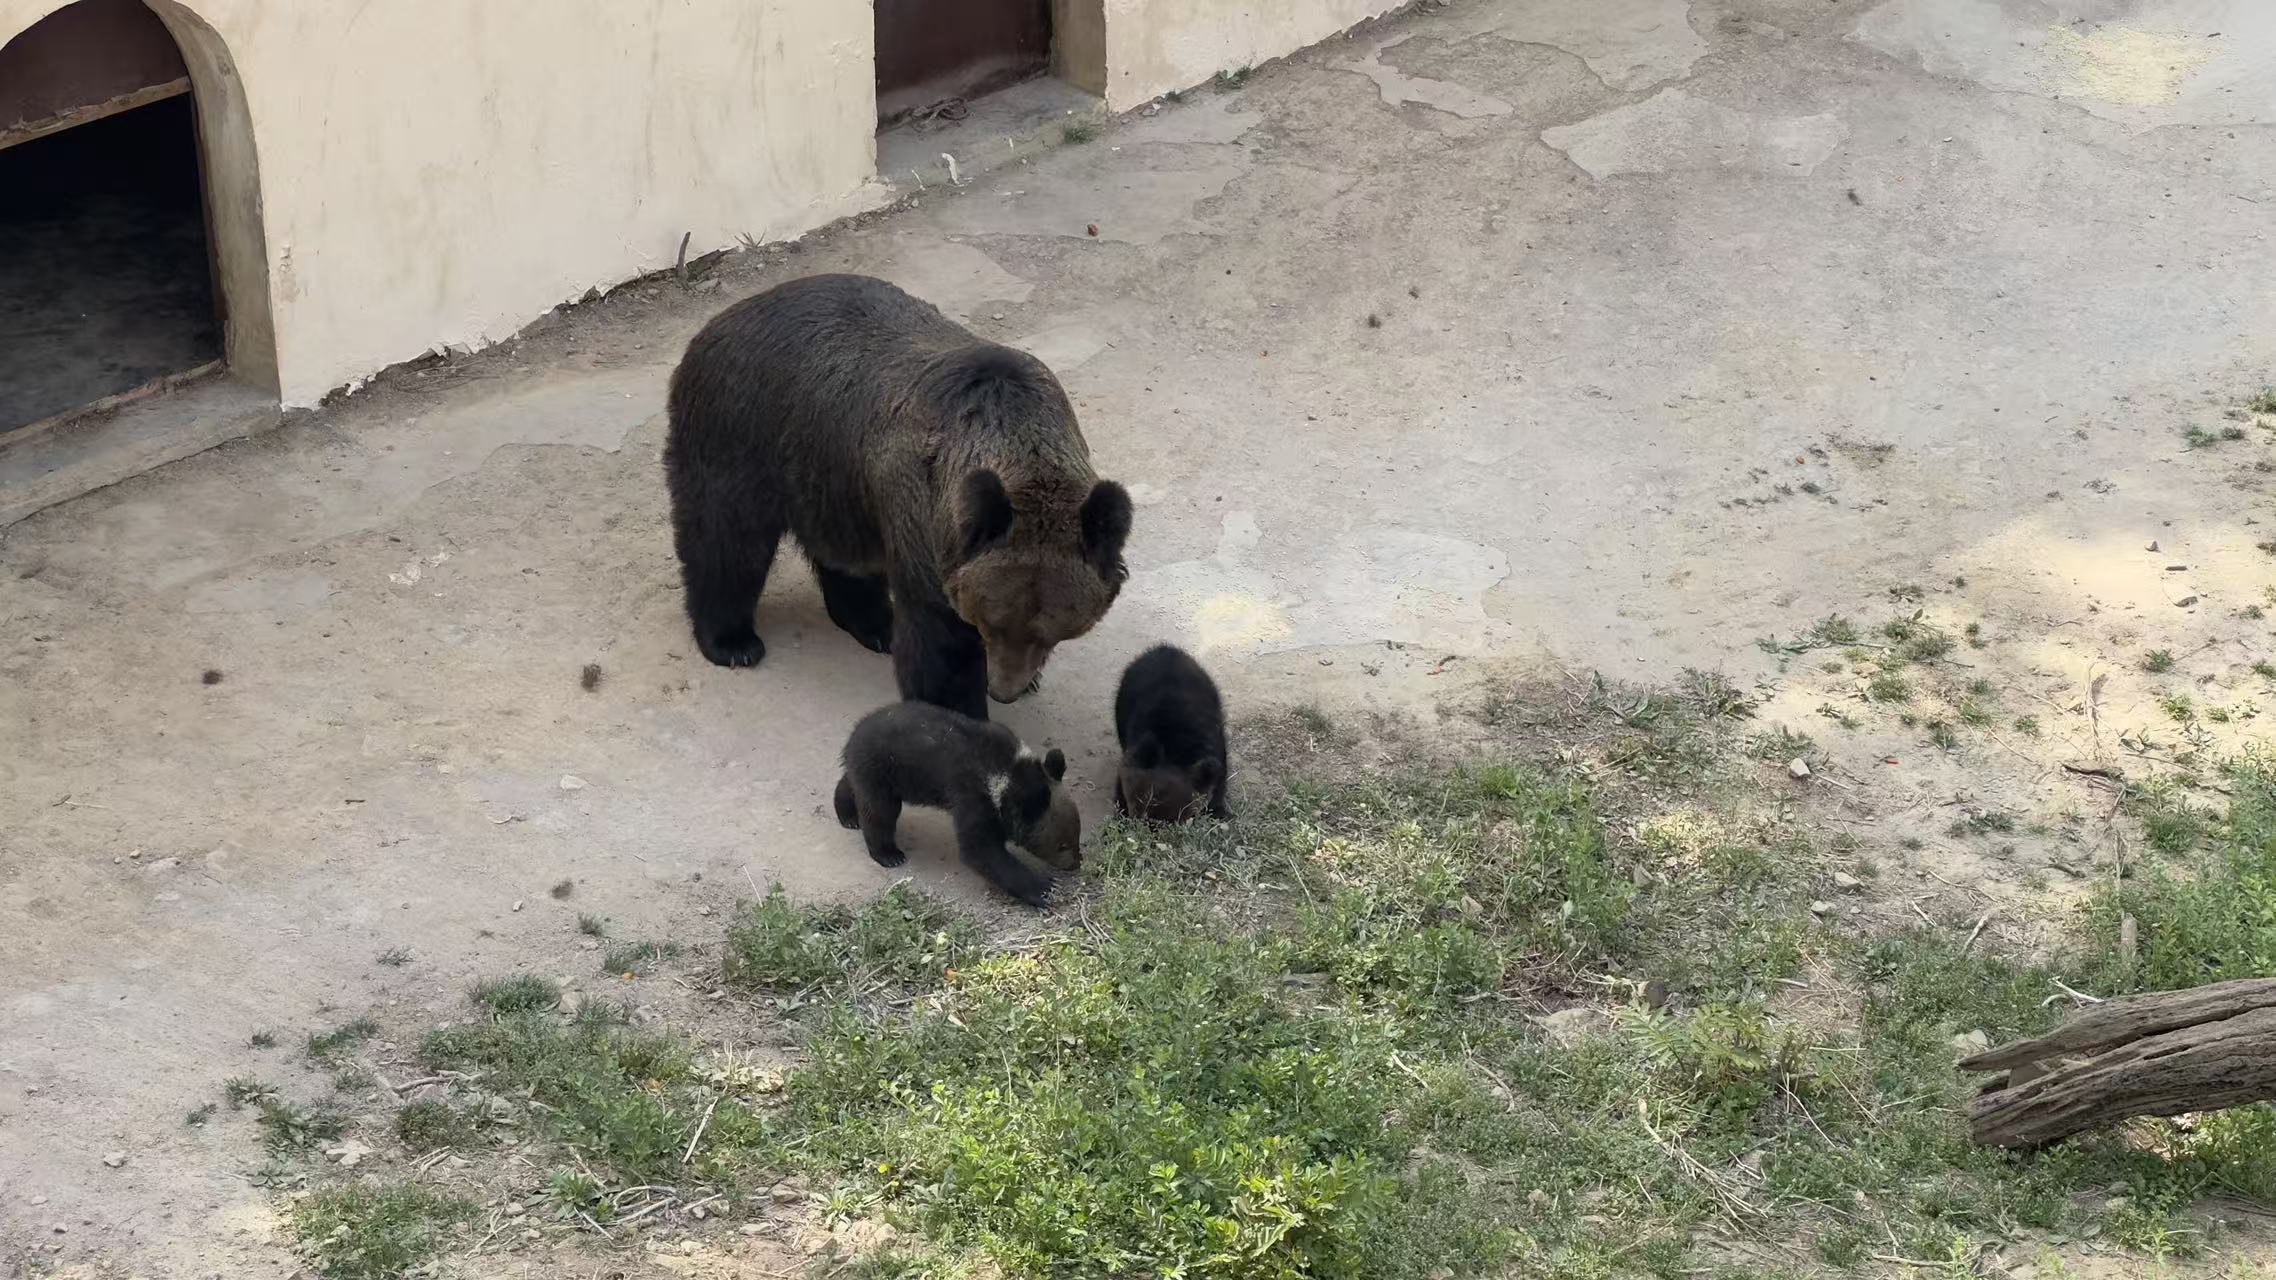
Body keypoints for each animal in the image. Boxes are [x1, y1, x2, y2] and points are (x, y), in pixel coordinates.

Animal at [663, 273, 1134, 719]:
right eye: (992, 622)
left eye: (1049, 631)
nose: (1005, 690)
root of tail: (716, 322)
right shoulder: (922, 518)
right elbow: (939, 643)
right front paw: (961, 710)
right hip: (739, 434)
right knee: (728, 542)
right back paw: (732, 641)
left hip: (830, 473)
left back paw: (871, 624)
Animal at [833, 700, 1080, 907]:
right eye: (1062, 845)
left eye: (1076, 834)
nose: (1076, 864)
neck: (1009, 774)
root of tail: (856, 730)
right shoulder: (974, 796)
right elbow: (981, 849)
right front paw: (1044, 889)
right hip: (883, 768)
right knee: (879, 811)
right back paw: (889, 854)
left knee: (852, 783)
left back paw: (848, 814)